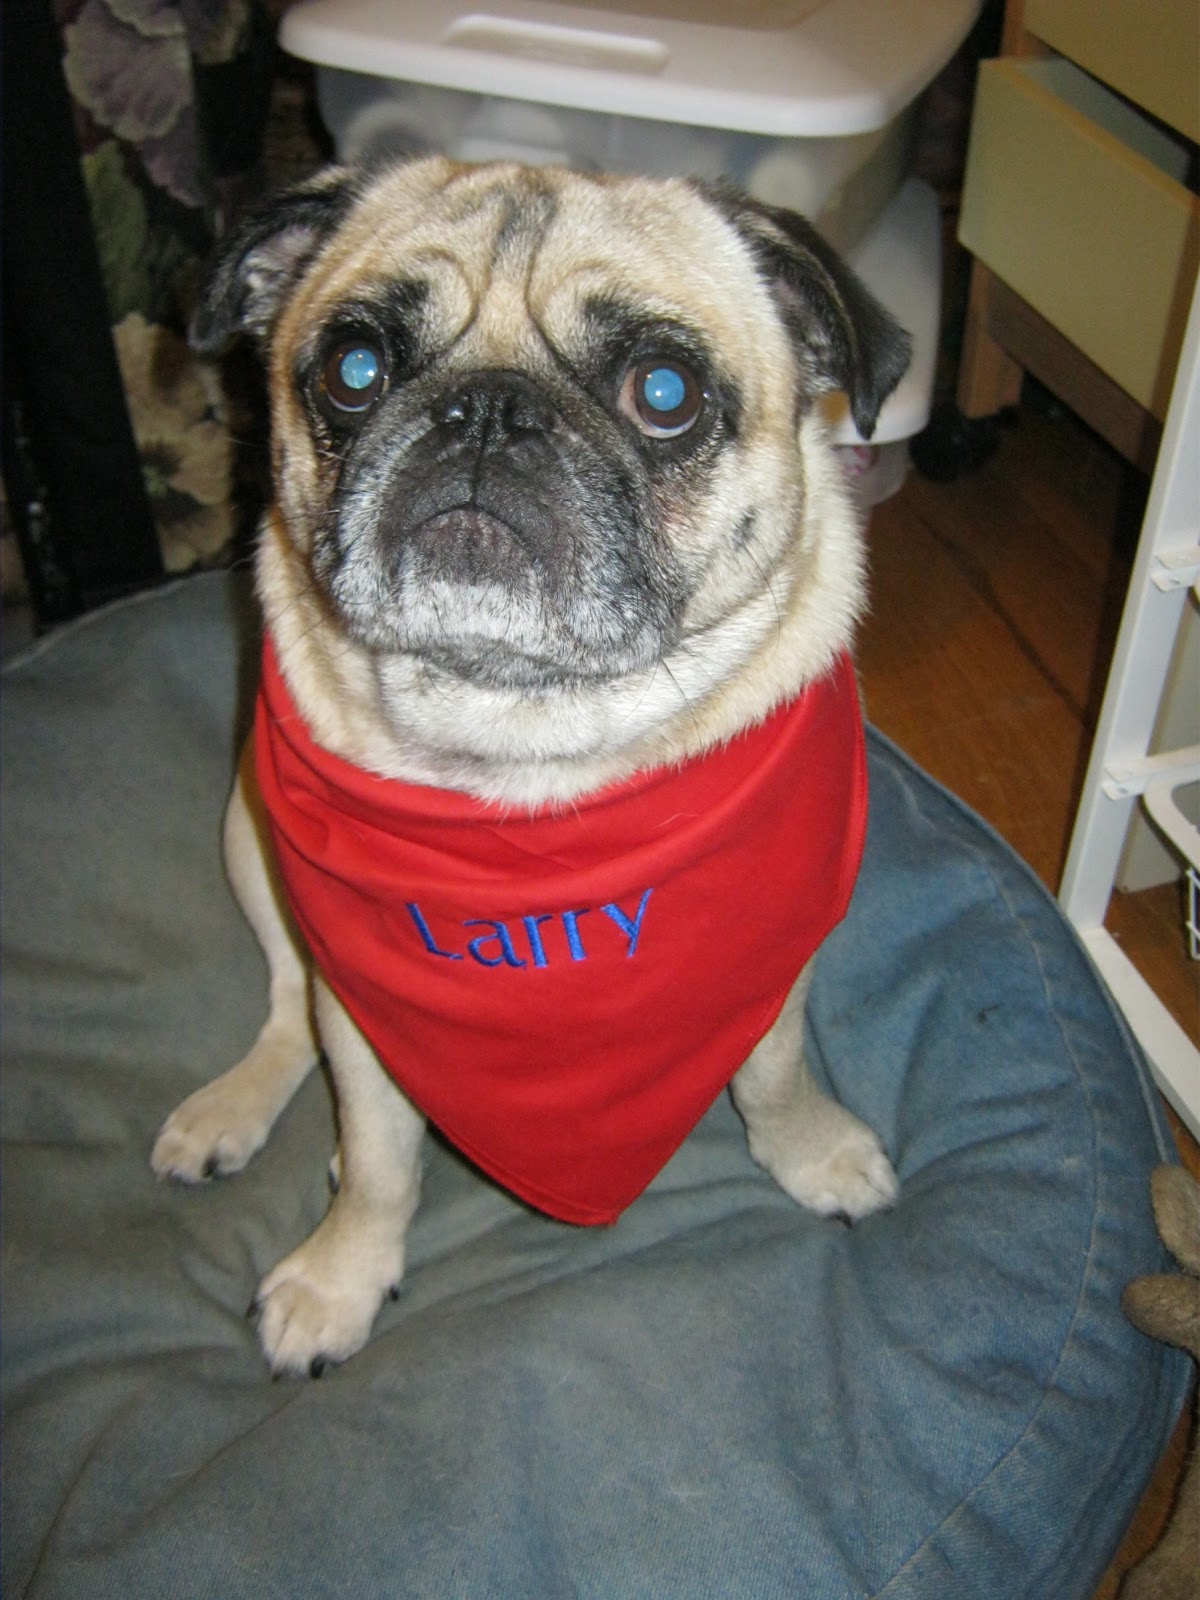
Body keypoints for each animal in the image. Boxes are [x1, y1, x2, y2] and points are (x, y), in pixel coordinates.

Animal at [152, 156, 910, 1377]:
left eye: (664, 391)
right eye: (354, 370)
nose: (488, 411)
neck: (525, 739)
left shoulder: (777, 959)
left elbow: (775, 1070)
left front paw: (812, 1151)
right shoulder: (360, 1006)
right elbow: (379, 1156)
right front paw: (342, 1275)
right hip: (250, 845)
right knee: (283, 1006)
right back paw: (233, 1109)